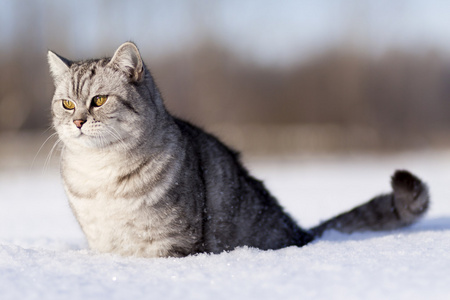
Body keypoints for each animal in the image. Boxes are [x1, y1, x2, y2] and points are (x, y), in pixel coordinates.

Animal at [47, 42, 430, 258]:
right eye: (67, 103)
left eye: (98, 100)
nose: (78, 121)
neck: (101, 173)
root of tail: (300, 233)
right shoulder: (103, 242)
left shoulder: (170, 242)